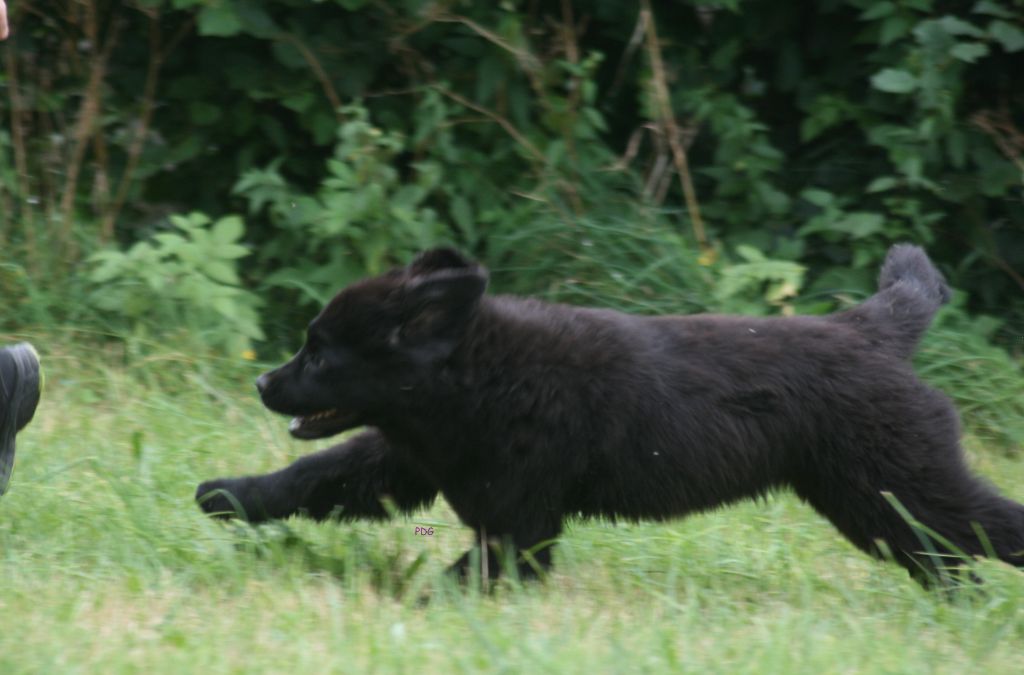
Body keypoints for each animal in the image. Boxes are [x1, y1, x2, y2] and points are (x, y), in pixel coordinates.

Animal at [196, 245, 1024, 585]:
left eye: (320, 353)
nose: (265, 382)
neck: (477, 378)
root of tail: (870, 328)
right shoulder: (405, 458)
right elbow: (316, 472)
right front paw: (229, 493)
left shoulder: (521, 520)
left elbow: (470, 574)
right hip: (871, 499)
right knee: (945, 558)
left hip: (900, 479)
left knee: (986, 528)